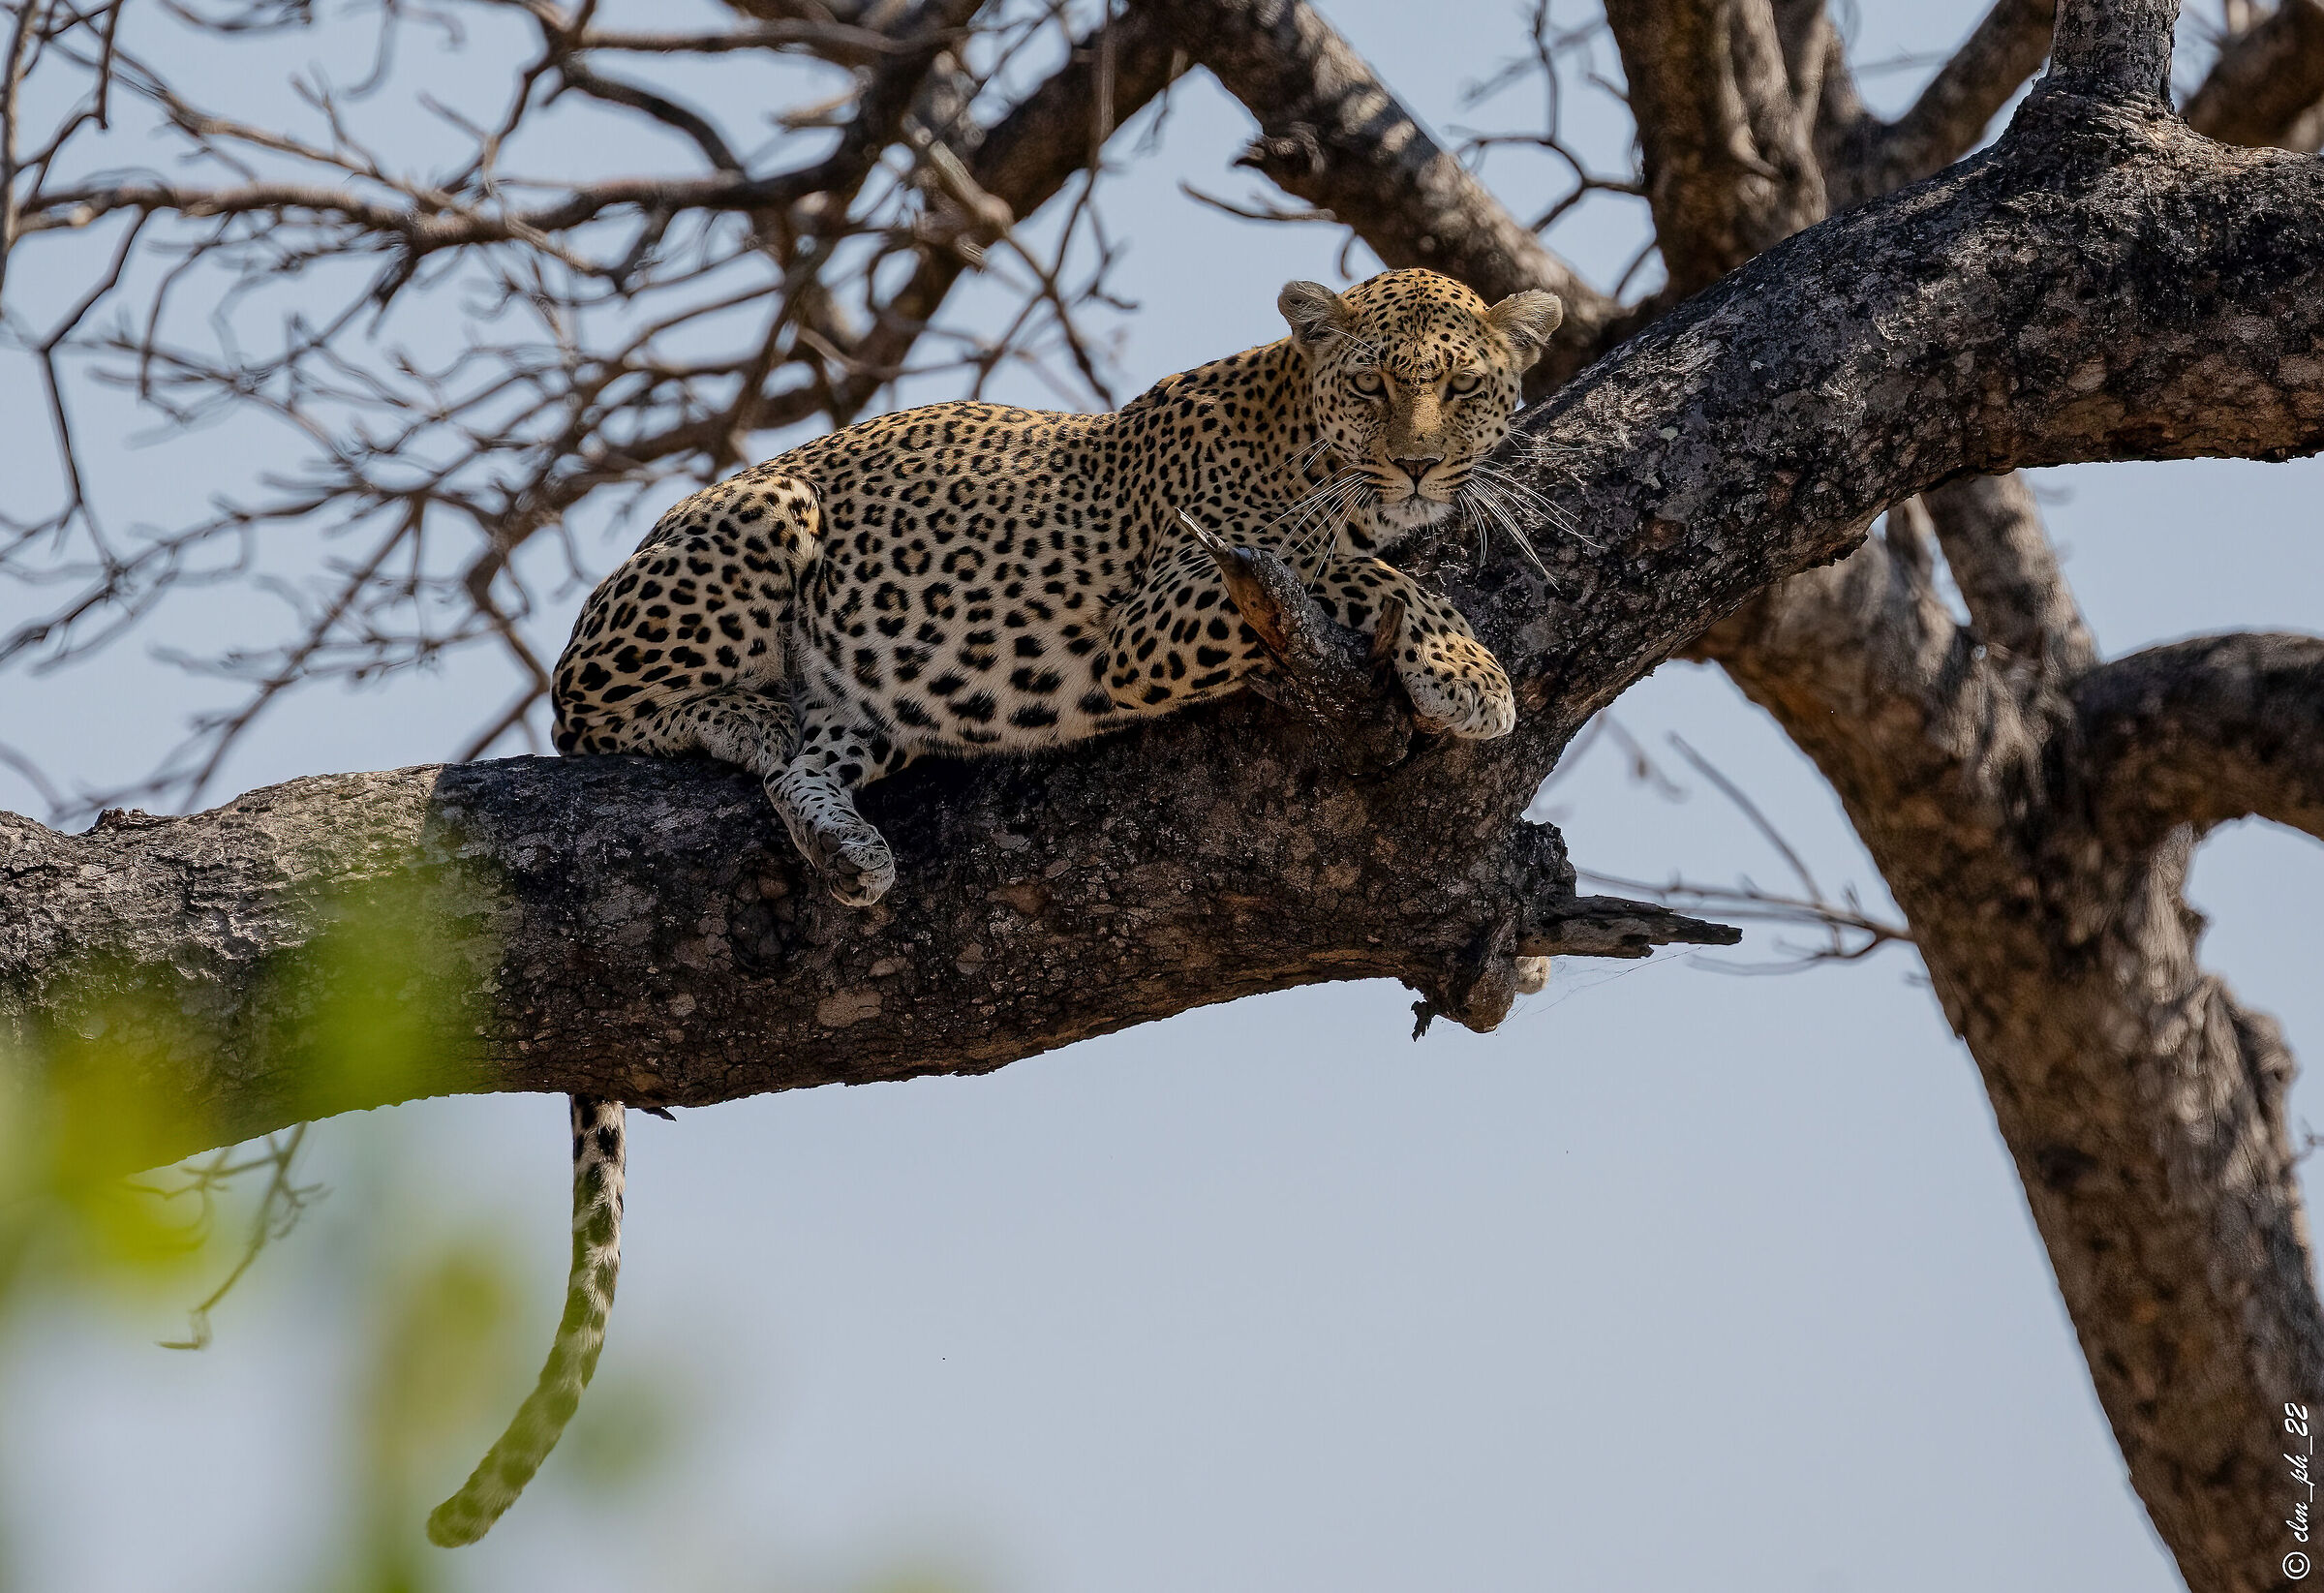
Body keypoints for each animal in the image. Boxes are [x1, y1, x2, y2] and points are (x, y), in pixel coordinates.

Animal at [427, 268, 1564, 1546]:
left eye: (1461, 390)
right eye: (1372, 386)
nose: (1418, 469)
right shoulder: (1169, 610)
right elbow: (1358, 569)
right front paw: (1470, 672)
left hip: (874, 697)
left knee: (812, 757)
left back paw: (845, 846)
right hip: (757, 521)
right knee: (601, 702)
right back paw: (746, 716)